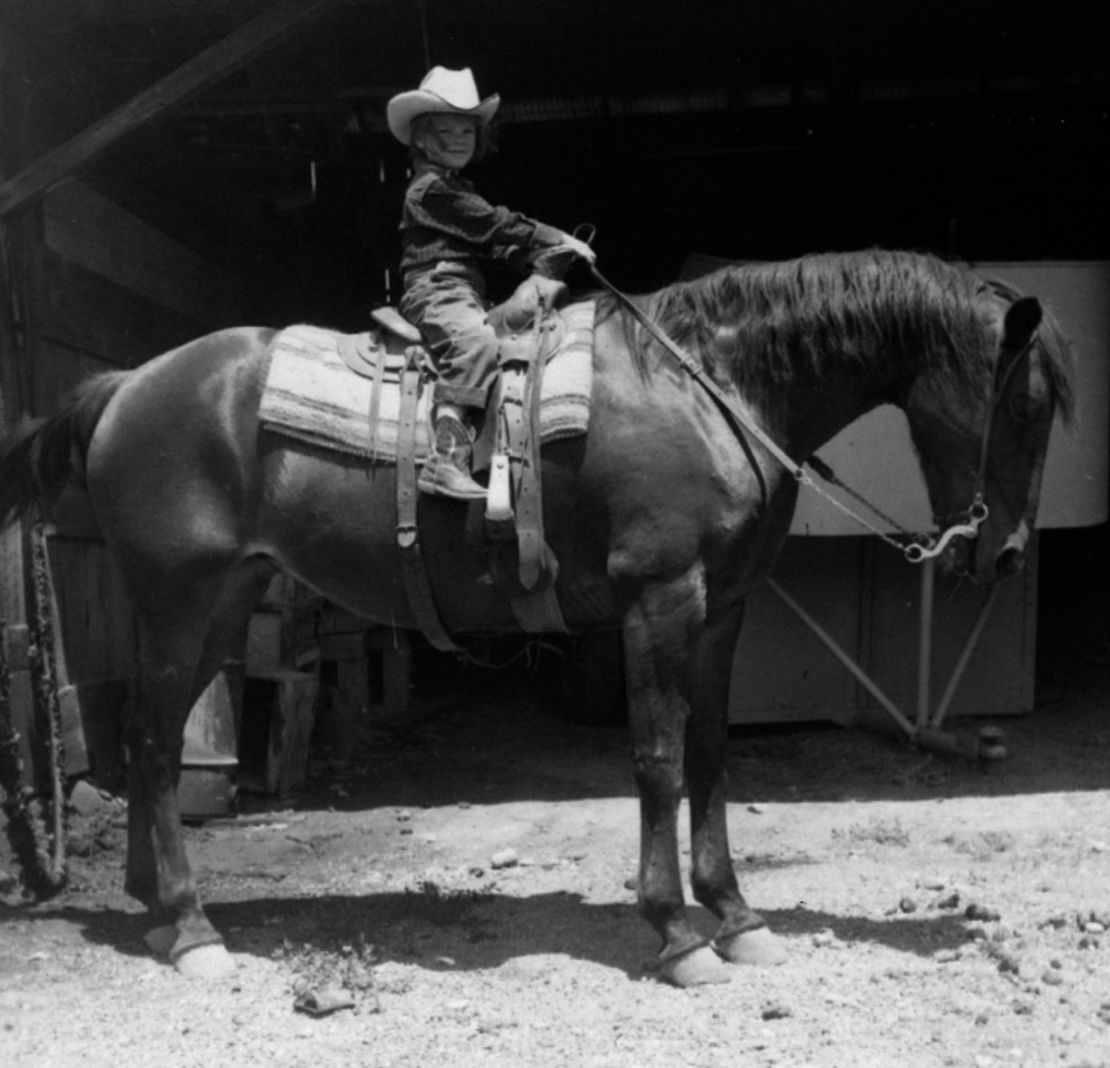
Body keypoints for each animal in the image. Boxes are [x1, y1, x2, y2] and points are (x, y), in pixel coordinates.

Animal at [0, 247, 1074, 981]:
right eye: (1024, 406)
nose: (1006, 555)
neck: (706, 388)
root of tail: (127, 386)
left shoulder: (723, 611)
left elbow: (713, 756)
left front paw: (737, 916)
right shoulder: (660, 600)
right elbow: (658, 759)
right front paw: (676, 930)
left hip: (223, 603)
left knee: (150, 740)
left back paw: (153, 903)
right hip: (181, 599)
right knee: (148, 740)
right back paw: (189, 926)